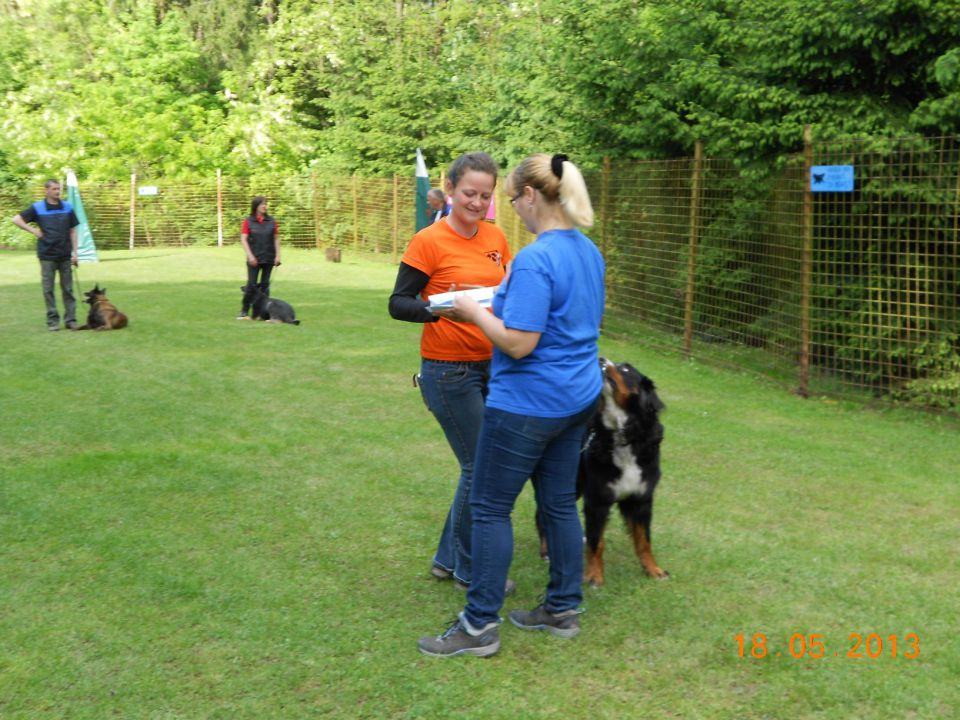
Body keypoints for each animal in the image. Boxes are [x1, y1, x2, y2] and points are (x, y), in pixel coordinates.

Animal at [540, 358, 668, 588]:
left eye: (626, 368)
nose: (601, 359)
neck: (622, 436)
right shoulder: (597, 500)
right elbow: (596, 541)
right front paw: (593, 575)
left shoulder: (641, 499)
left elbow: (644, 540)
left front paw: (653, 569)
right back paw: (546, 550)